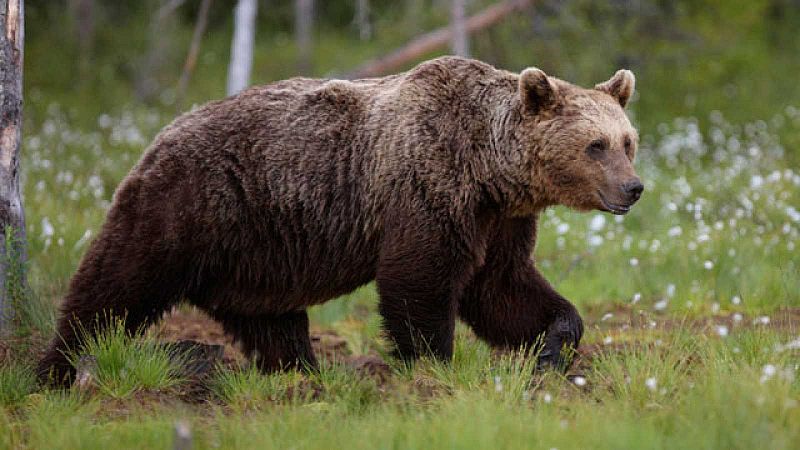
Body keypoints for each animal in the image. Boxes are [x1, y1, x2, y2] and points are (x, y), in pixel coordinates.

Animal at [38, 56, 643, 384]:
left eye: (627, 141)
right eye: (595, 146)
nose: (633, 188)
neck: (489, 169)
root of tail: (160, 133)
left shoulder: (498, 220)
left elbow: (504, 288)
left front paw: (553, 346)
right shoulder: (427, 188)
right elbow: (419, 282)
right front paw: (431, 365)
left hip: (256, 253)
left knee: (272, 322)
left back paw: (303, 374)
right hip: (186, 205)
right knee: (116, 282)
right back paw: (56, 369)